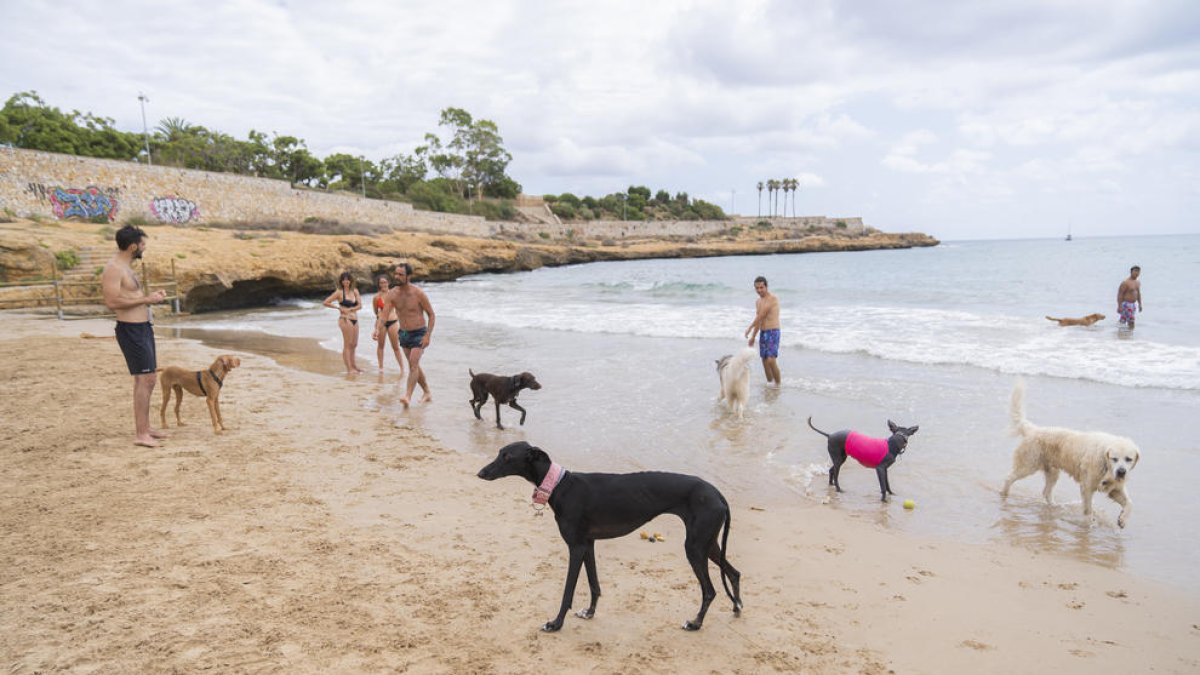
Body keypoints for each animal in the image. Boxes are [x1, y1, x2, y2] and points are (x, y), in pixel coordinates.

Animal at [475, 441, 739, 629]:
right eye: (499, 452)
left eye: (507, 457)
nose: (480, 473)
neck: (560, 485)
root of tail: (718, 494)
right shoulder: (588, 544)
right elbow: (594, 584)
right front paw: (589, 612)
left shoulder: (576, 547)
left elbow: (568, 590)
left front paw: (556, 623)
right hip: (707, 543)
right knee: (734, 573)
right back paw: (737, 607)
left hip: (695, 547)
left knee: (710, 590)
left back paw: (695, 623)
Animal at [998, 379, 1137, 526]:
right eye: (1114, 458)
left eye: (1128, 459)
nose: (1121, 472)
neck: (1104, 462)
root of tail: (1033, 430)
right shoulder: (1087, 486)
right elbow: (1088, 509)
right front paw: (1089, 524)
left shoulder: (1115, 489)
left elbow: (1129, 503)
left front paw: (1122, 519)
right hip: (1028, 465)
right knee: (1009, 478)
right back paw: (1004, 494)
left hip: (1052, 472)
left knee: (1046, 492)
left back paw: (1054, 507)